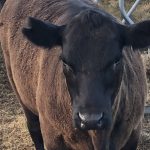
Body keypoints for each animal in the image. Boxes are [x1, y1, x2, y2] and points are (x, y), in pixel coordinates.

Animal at [0, 0, 150, 150]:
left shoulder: (133, 132)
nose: (90, 119)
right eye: (66, 62)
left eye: (116, 60)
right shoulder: (52, 136)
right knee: (34, 128)